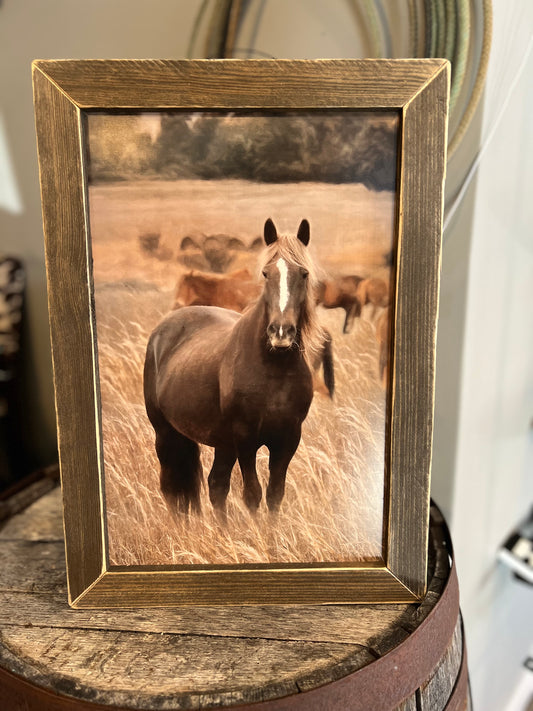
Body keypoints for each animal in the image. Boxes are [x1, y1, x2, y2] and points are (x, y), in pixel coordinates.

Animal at [142, 217, 324, 516]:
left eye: (304, 273)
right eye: (266, 273)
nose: (281, 332)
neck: (273, 369)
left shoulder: (287, 440)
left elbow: (274, 494)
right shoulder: (246, 439)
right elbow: (253, 494)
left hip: (221, 442)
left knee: (215, 486)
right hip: (166, 432)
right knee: (171, 488)